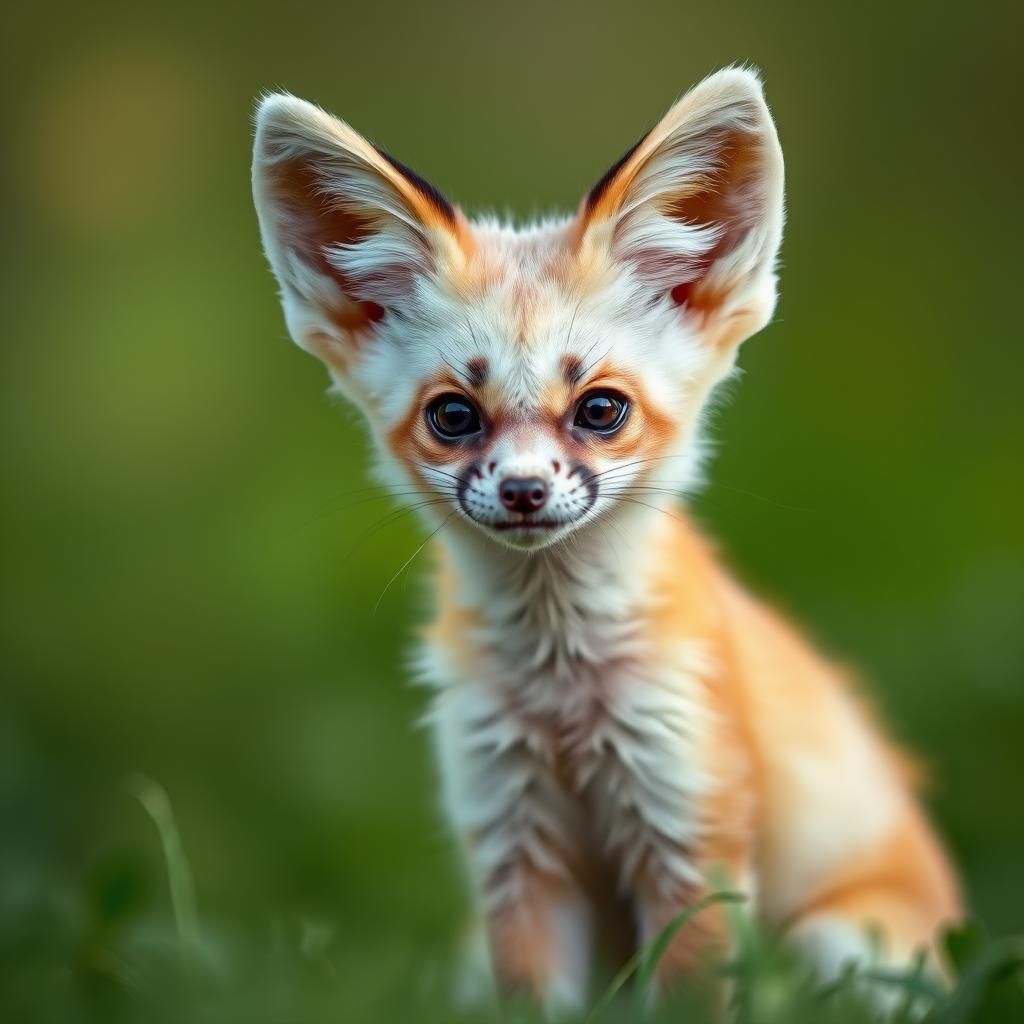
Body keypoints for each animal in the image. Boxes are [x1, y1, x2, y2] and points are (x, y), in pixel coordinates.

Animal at [251, 67, 961, 1014]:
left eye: (600, 409)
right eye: (453, 417)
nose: (523, 490)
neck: (562, 698)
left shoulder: (690, 825)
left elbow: (691, 995)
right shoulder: (510, 837)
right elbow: (530, 998)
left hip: (838, 943)